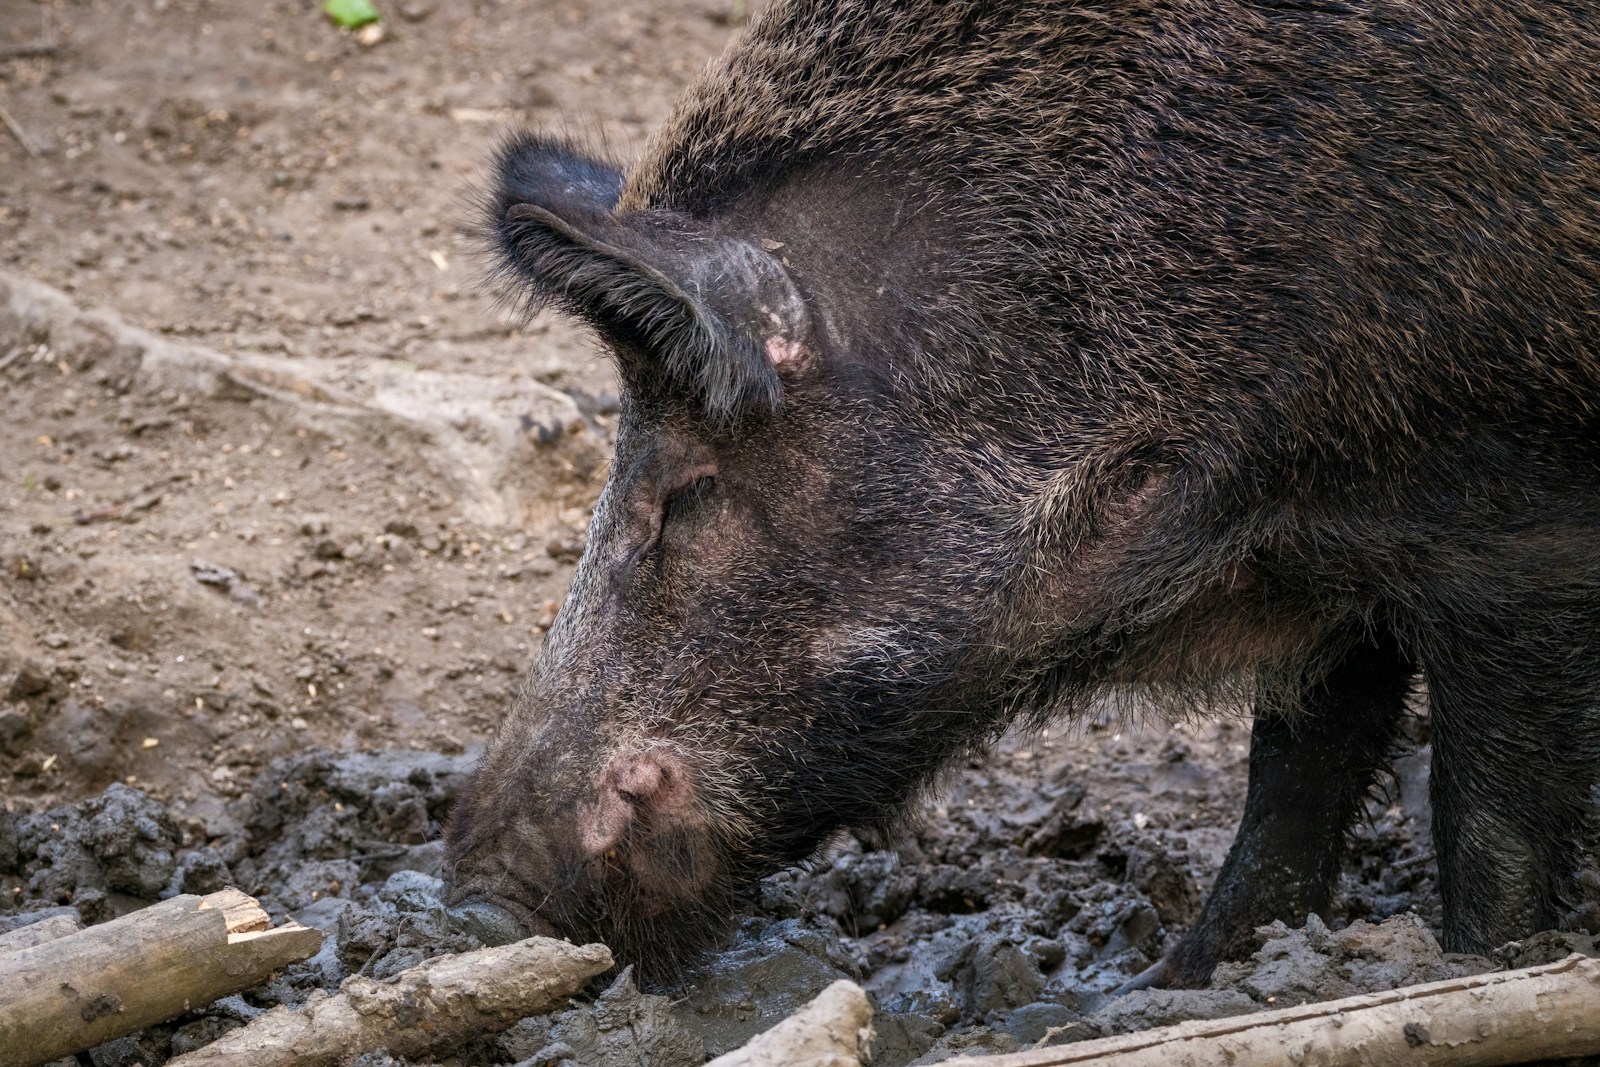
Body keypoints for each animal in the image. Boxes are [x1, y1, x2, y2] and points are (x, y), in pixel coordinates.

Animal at [444, 0, 1600, 988]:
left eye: (686, 490)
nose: (476, 901)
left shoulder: (1515, 527)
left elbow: (1487, 822)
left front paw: (1478, 970)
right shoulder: (1333, 565)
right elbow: (1291, 776)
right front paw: (1177, 982)